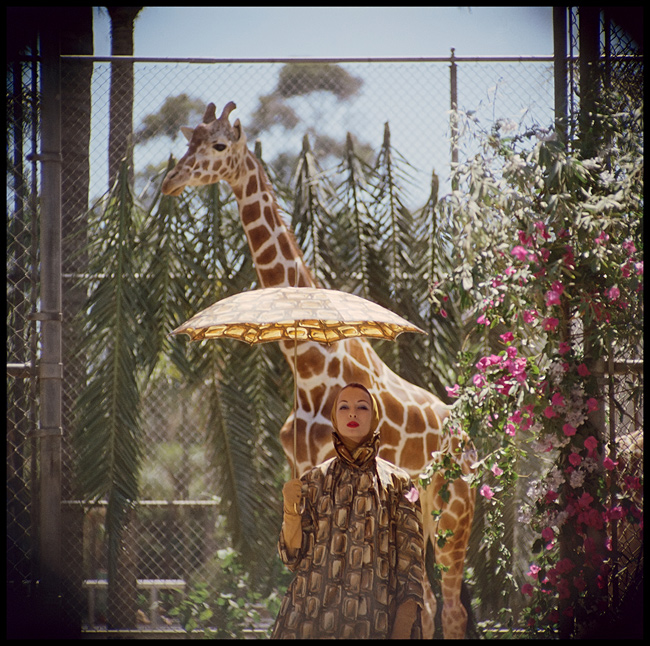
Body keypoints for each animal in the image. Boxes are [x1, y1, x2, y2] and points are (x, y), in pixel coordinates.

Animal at [162, 101, 477, 639]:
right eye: (189, 142)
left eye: (219, 146)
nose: (170, 181)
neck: (308, 365)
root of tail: (471, 442)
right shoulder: (303, 463)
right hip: (426, 515)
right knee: (427, 601)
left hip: (454, 512)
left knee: (451, 609)